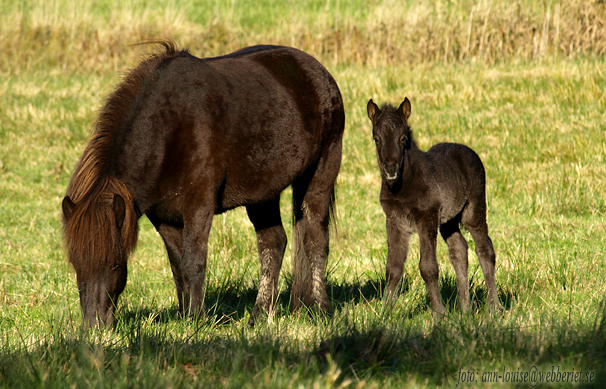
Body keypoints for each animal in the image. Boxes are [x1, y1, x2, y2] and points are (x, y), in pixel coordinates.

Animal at [63, 41, 346, 328]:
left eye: (114, 264)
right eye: (75, 264)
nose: (94, 325)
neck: (169, 127)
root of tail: (319, 73)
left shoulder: (198, 206)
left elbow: (194, 261)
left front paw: (196, 319)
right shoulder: (164, 218)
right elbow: (178, 265)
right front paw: (183, 315)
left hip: (319, 176)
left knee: (315, 241)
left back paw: (321, 309)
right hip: (263, 194)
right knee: (273, 243)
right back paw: (259, 314)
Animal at [368, 98, 506, 316]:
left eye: (403, 138)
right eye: (376, 138)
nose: (390, 170)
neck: (402, 187)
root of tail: (466, 149)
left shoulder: (427, 218)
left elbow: (428, 267)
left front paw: (439, 314)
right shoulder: (395, 222)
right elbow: (393, 268)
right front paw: (385, 313)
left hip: (474, 210)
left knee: (485, 250)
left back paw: (495, 307)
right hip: (449, 220)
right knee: (459, 249)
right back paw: (464, 309)